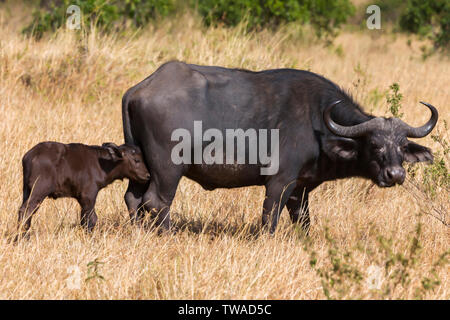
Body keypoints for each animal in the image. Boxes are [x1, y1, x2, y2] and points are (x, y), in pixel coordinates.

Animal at [17, 141, 149, 234]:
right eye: (137, 160)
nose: (148, 175)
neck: (102, 164)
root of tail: (30, 156)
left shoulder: (81, 199)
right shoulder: (89, 196)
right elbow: (91, 219)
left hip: (26, 190)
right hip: (39, 190)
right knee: (27, 210)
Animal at [121, 61, 438, 234]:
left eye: (401, 145)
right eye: (374, 144)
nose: (395, 175)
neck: (317, 120)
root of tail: (139, 89)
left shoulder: (301, 189)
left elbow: (303, 222)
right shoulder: (279, 182)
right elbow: (269, 220)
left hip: (141, 165)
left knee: (133, 198)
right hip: (167, 169)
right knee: (157, 201)